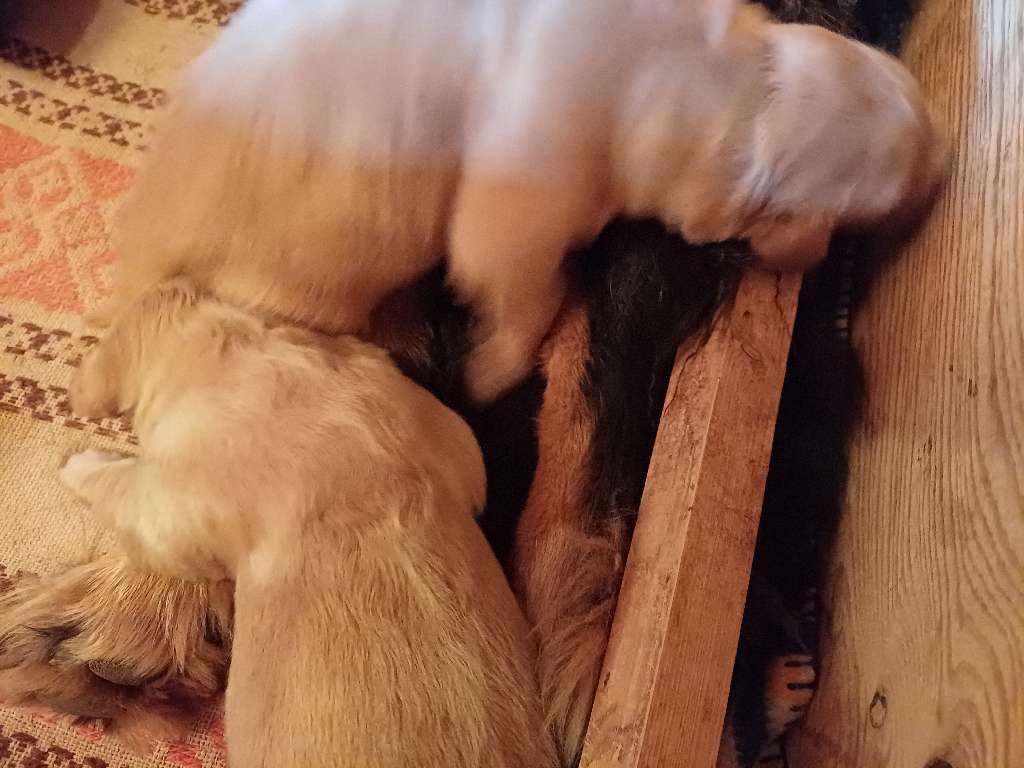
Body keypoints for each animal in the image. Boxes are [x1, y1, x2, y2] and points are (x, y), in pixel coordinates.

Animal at [95, 0, 946, 403]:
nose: (943, 157)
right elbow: (509, 265)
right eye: (867, 208)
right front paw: (493, 366)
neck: (712, 77)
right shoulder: (535, 172)